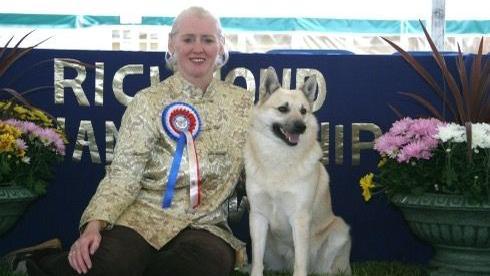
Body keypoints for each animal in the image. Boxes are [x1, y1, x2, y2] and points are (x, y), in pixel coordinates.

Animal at [243, 67, 350, 276]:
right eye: (282, 109)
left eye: (303, 111)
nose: (302, 127)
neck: (279, 158)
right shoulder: (258, 217)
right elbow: (257, 261)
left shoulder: (300, 218)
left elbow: (300, 263)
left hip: (338, 231)